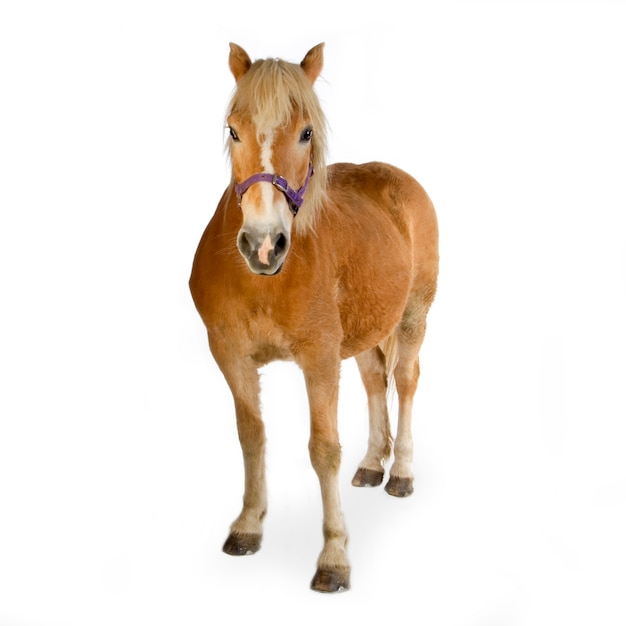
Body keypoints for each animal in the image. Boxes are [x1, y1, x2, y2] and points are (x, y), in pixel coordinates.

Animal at [188, 42, 436, 588]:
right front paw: (248, 525)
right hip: (365, 330)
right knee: (374, 380)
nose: (263, 245)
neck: (263, 282)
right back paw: (372, 464)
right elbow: (251, 437)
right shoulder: (230, 355)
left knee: (405, 380)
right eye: (233, 129)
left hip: (413, 315)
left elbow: (324, 449)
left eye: (306, 132)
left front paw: (334, 555)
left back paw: (401, 472)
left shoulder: (319, 358)